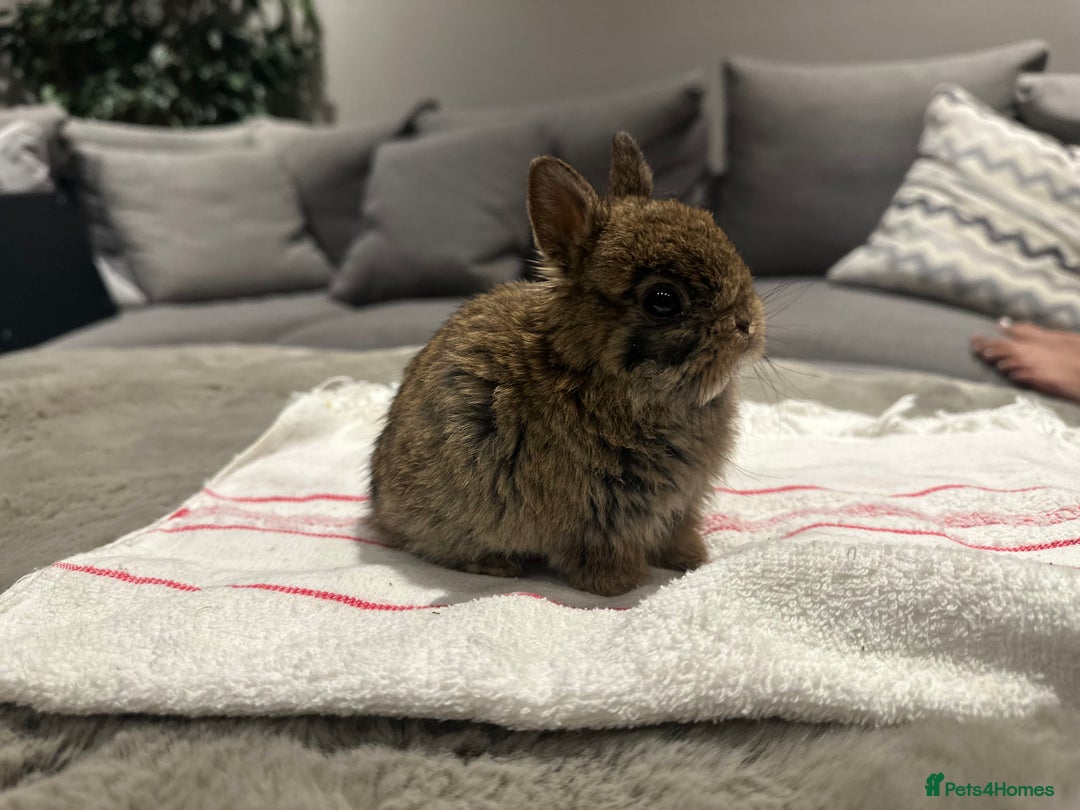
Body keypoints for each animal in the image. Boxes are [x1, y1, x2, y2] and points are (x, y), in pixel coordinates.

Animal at [369, 132, 765, 596]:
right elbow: (599, 555)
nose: (748, 325)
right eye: (663, 300)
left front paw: (691, 560)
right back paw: (497, 565)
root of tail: (379, 506)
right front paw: (622, 584)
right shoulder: (601, 517)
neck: (589, 369)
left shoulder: (681, 505)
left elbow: (675, 534)